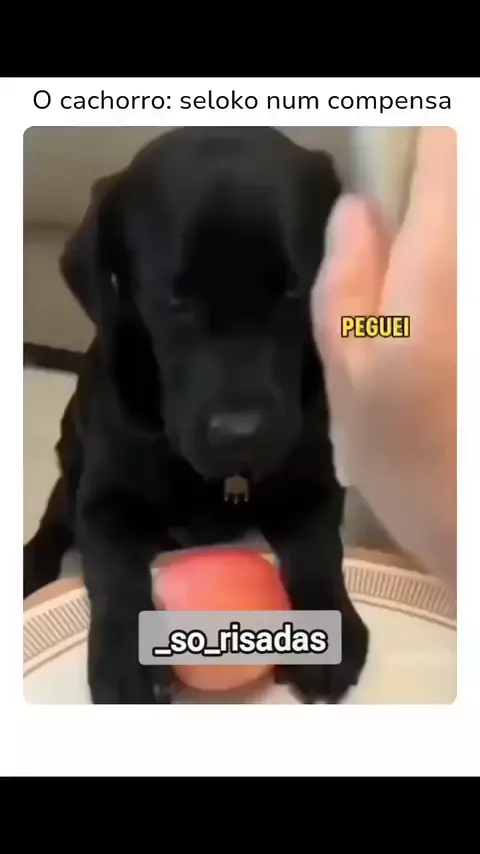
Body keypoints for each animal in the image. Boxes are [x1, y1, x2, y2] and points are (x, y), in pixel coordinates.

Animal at [24, 126, 369, 704]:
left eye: (293, 289)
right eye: (175, 299)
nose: (241, 436)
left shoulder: (314, 481)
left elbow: (321, 547)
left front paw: (329, 631)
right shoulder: (104, 501)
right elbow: (114, 571)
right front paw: (126, 660)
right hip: (70, 458)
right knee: (52, 524)